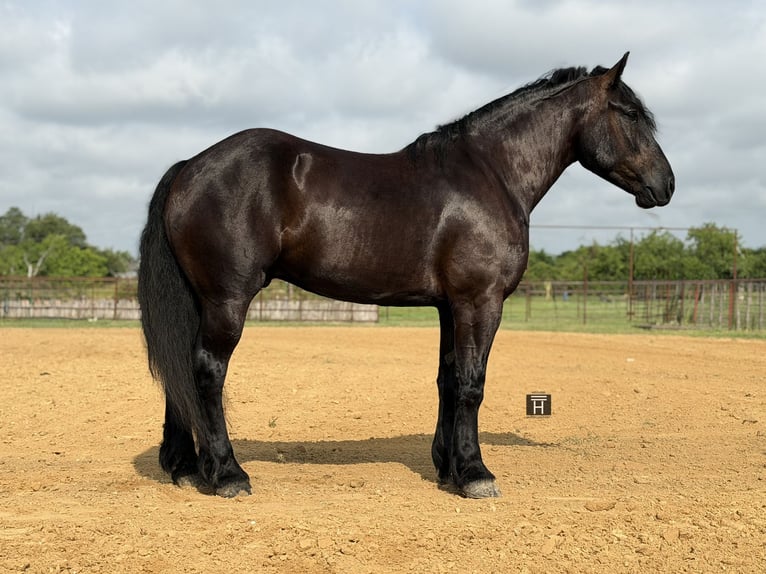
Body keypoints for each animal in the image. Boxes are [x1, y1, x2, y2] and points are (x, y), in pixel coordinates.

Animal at [138, 52, 674, 498]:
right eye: (630, 114)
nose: (666, 184)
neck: (491, 173)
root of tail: (189, 167)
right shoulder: (480, 300)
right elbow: (473, 382)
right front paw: (476, 474)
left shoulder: (449, 306)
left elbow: (448, 378)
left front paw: (448, 466)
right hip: (227, 298)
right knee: (207, 370)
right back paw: (228, 473)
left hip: (199, 299)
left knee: (180, 368)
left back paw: (186, 468)